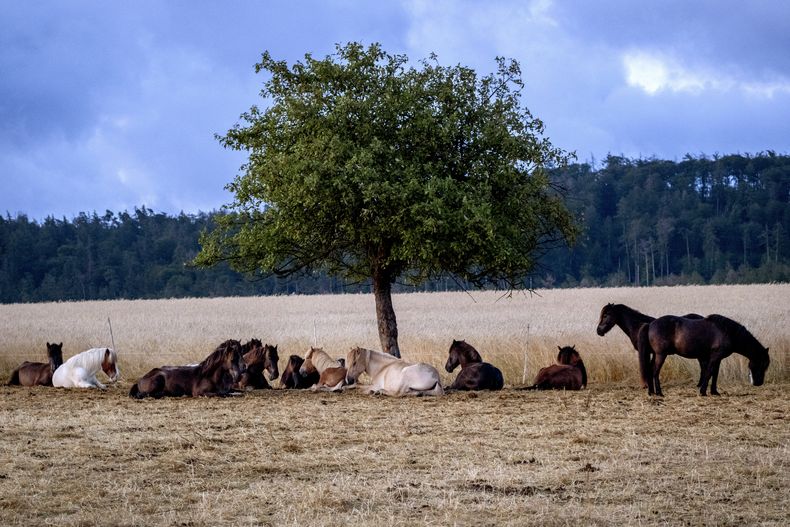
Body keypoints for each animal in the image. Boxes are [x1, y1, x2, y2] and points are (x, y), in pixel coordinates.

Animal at [638, 314, 770, 396]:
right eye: (762, 364)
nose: (759, 383)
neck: (728, 332)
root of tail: (650, 324)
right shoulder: (715, 357)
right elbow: (709, 372)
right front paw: (703, 392)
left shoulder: (718, 358)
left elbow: (715, 374)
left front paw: (714, 392)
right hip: (661, 355)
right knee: (655, 371)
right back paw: (659, 393)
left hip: (655, 354)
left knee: (649, 370)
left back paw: (651, 392)